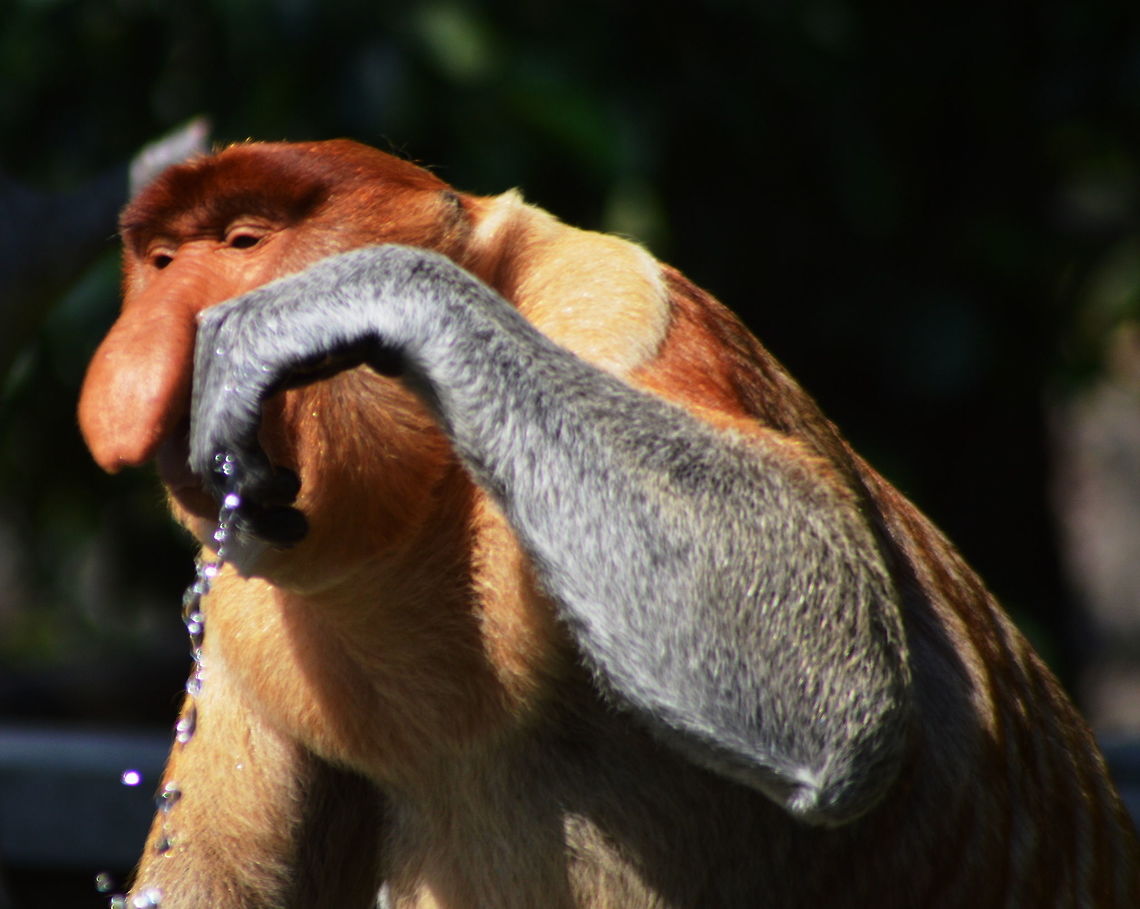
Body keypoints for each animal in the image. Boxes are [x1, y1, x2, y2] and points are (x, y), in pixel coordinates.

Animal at [77, 139, 1140, 907]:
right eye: (161, 260)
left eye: (245, 242)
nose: (135, 359)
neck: (423, 513)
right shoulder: (247, 629)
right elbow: (216, 877)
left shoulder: (623, 314)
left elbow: (840, 690)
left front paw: (339, 299)